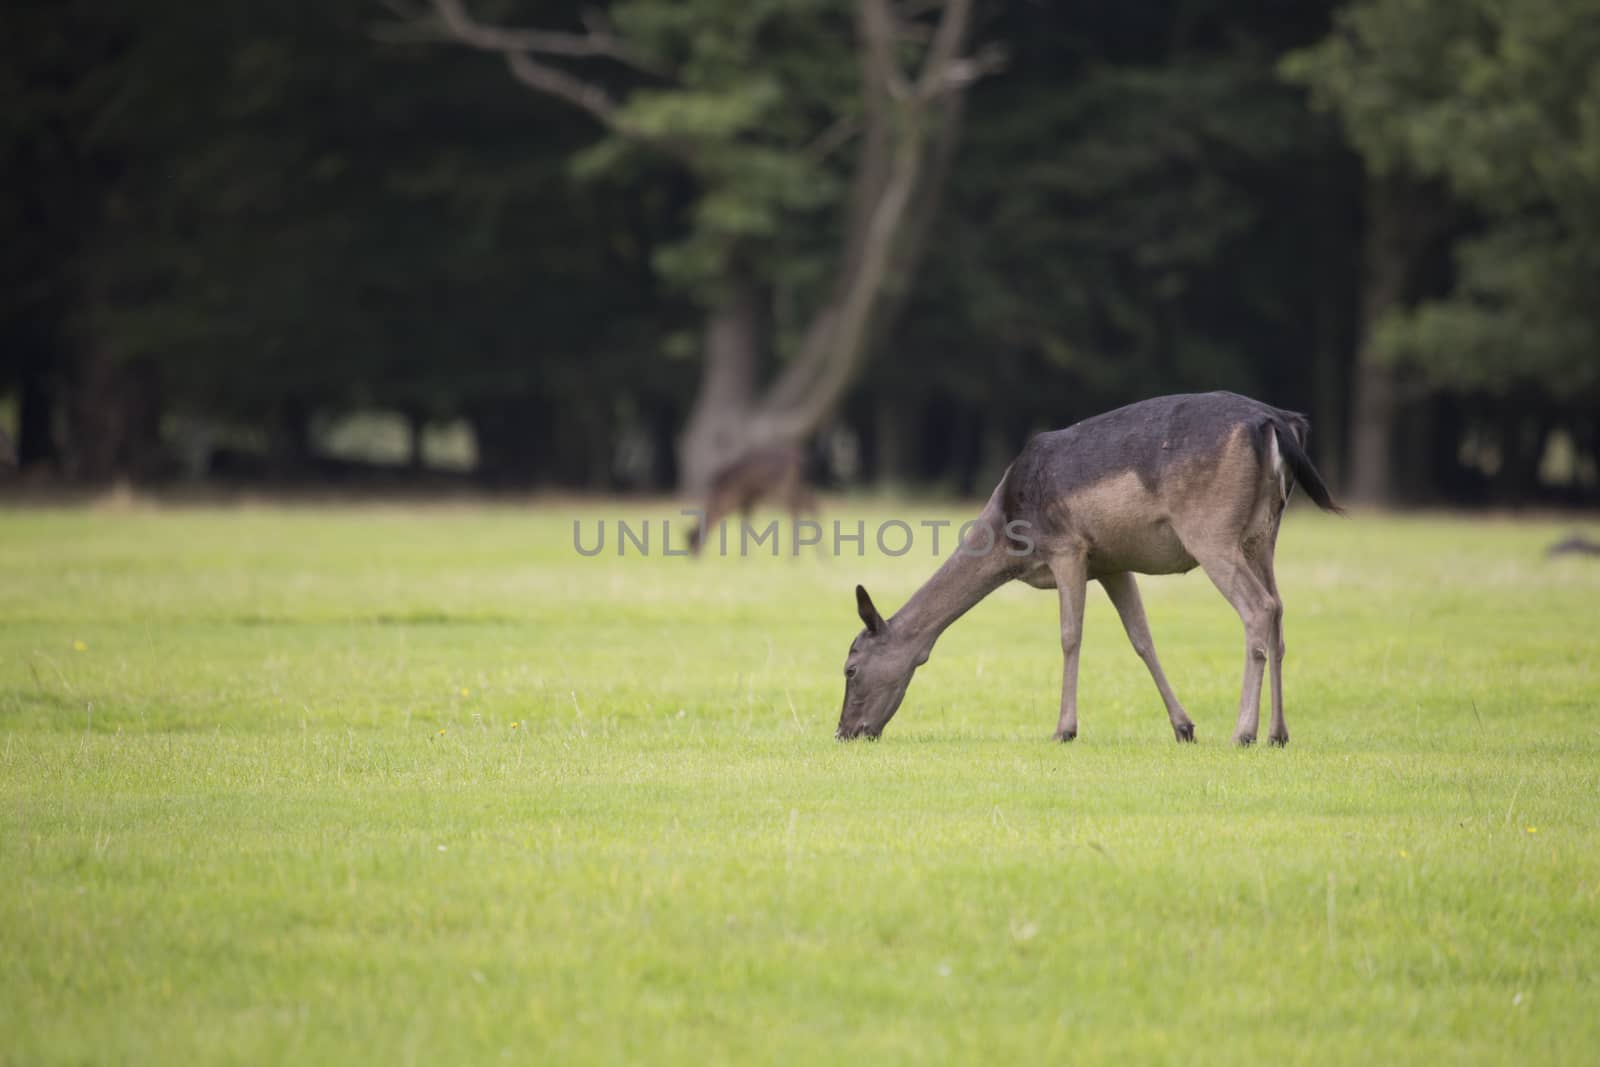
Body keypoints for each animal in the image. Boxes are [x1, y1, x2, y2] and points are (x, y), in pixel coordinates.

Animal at [688, 444, 819, 559]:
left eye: (692, 541)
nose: (694, 559)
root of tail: (800, 462)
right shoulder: (748, 501)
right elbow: (748, 523)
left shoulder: (745, 498)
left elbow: (746, 524)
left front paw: (745, 556)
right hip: (800, 487)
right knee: (810, 505)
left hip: (784, 488)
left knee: (798, 509)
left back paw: (796, 556)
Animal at [844, 395, 1344, 751]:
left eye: (849, 666)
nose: (845, 730)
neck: (1008, 535)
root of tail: (1277, 423)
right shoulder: (1113, 562)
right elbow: (1141, 638)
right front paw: (1183, 727)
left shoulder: (1068, 546)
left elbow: (1070, 635)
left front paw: (1064, 729)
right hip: (1264, 532)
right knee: (1279, 610)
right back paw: (1278, 734)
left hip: (1211, 529)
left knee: (1258, 607)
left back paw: (1243, 732)